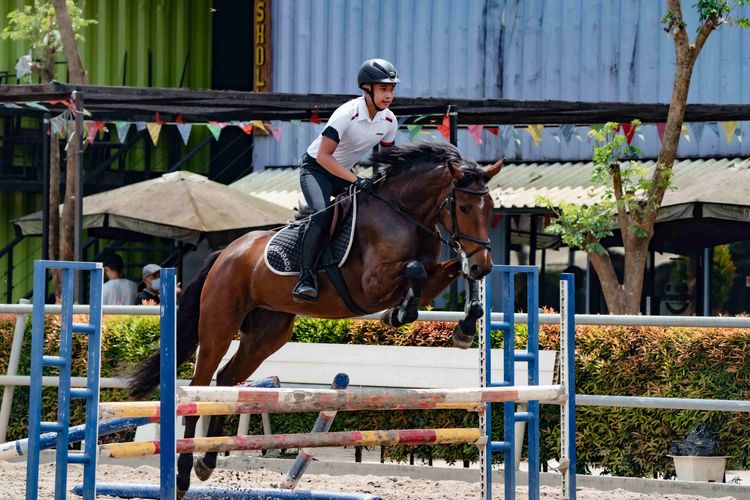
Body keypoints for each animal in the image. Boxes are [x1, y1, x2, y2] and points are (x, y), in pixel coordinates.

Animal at [127, 141, 503, 497]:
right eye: (464, 207)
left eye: (490, 209)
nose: (484, 265)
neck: (404, 213)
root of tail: (227, 253)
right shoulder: (371, 285)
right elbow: (414, 271)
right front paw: (399, 313)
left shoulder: (432, 276)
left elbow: (446, 273)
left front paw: (464, 327)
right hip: (218, 326)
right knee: (199, 386)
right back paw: (182, 476)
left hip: (266, 336)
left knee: (226, 380)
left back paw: (207, 463)